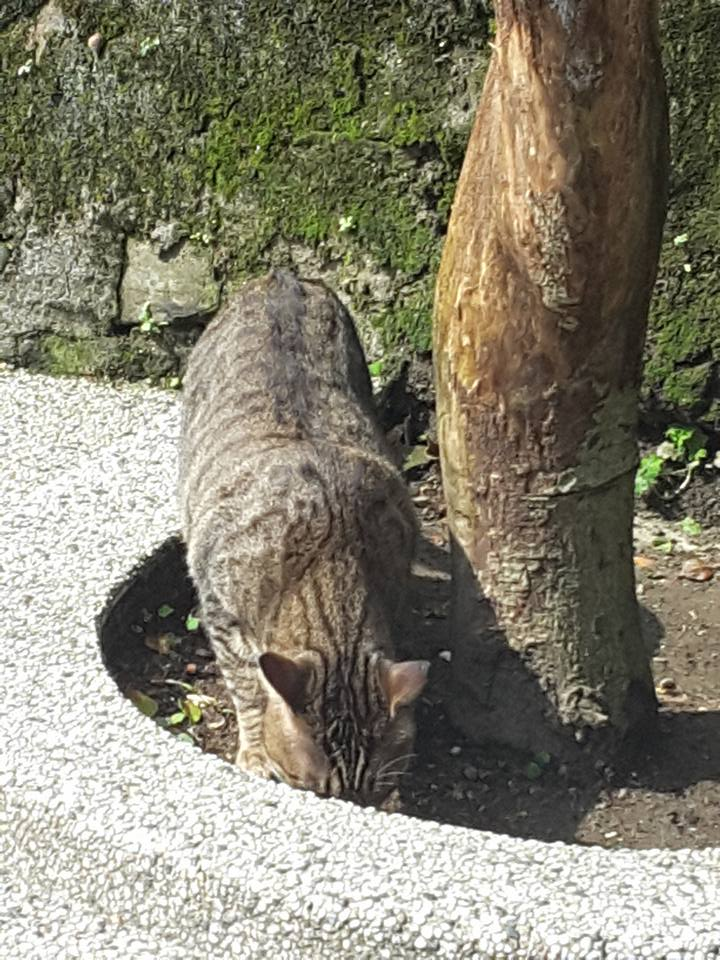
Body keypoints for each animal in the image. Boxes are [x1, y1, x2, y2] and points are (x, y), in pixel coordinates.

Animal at [179, 268, 428, 804]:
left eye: (369, 794)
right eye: (310, 786)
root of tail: (283, 275)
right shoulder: (222, 610)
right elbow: (248, 687)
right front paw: (255, 750)